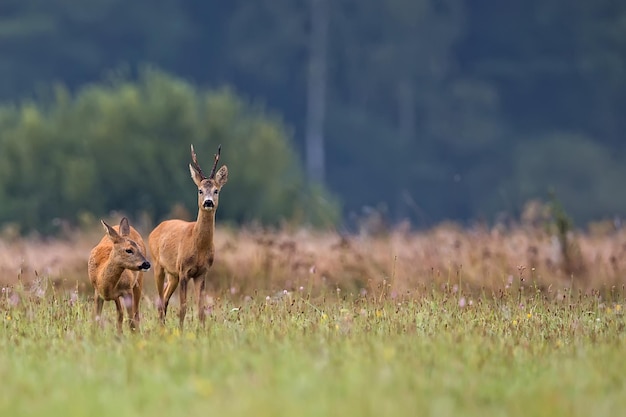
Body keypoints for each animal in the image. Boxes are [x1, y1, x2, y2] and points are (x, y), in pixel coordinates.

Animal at [147, 145, 228, 326]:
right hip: (158, 265)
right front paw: (181, 330)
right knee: (160, 300)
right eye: (200, 190)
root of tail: (155, 229)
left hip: (173, 275)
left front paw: (202, 330)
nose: (208, 202)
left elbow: (201, 310)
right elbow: (183, 308)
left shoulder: (202, 273)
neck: (198, 245)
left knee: (164, 299)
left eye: (216, 190)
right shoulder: (184, 270)